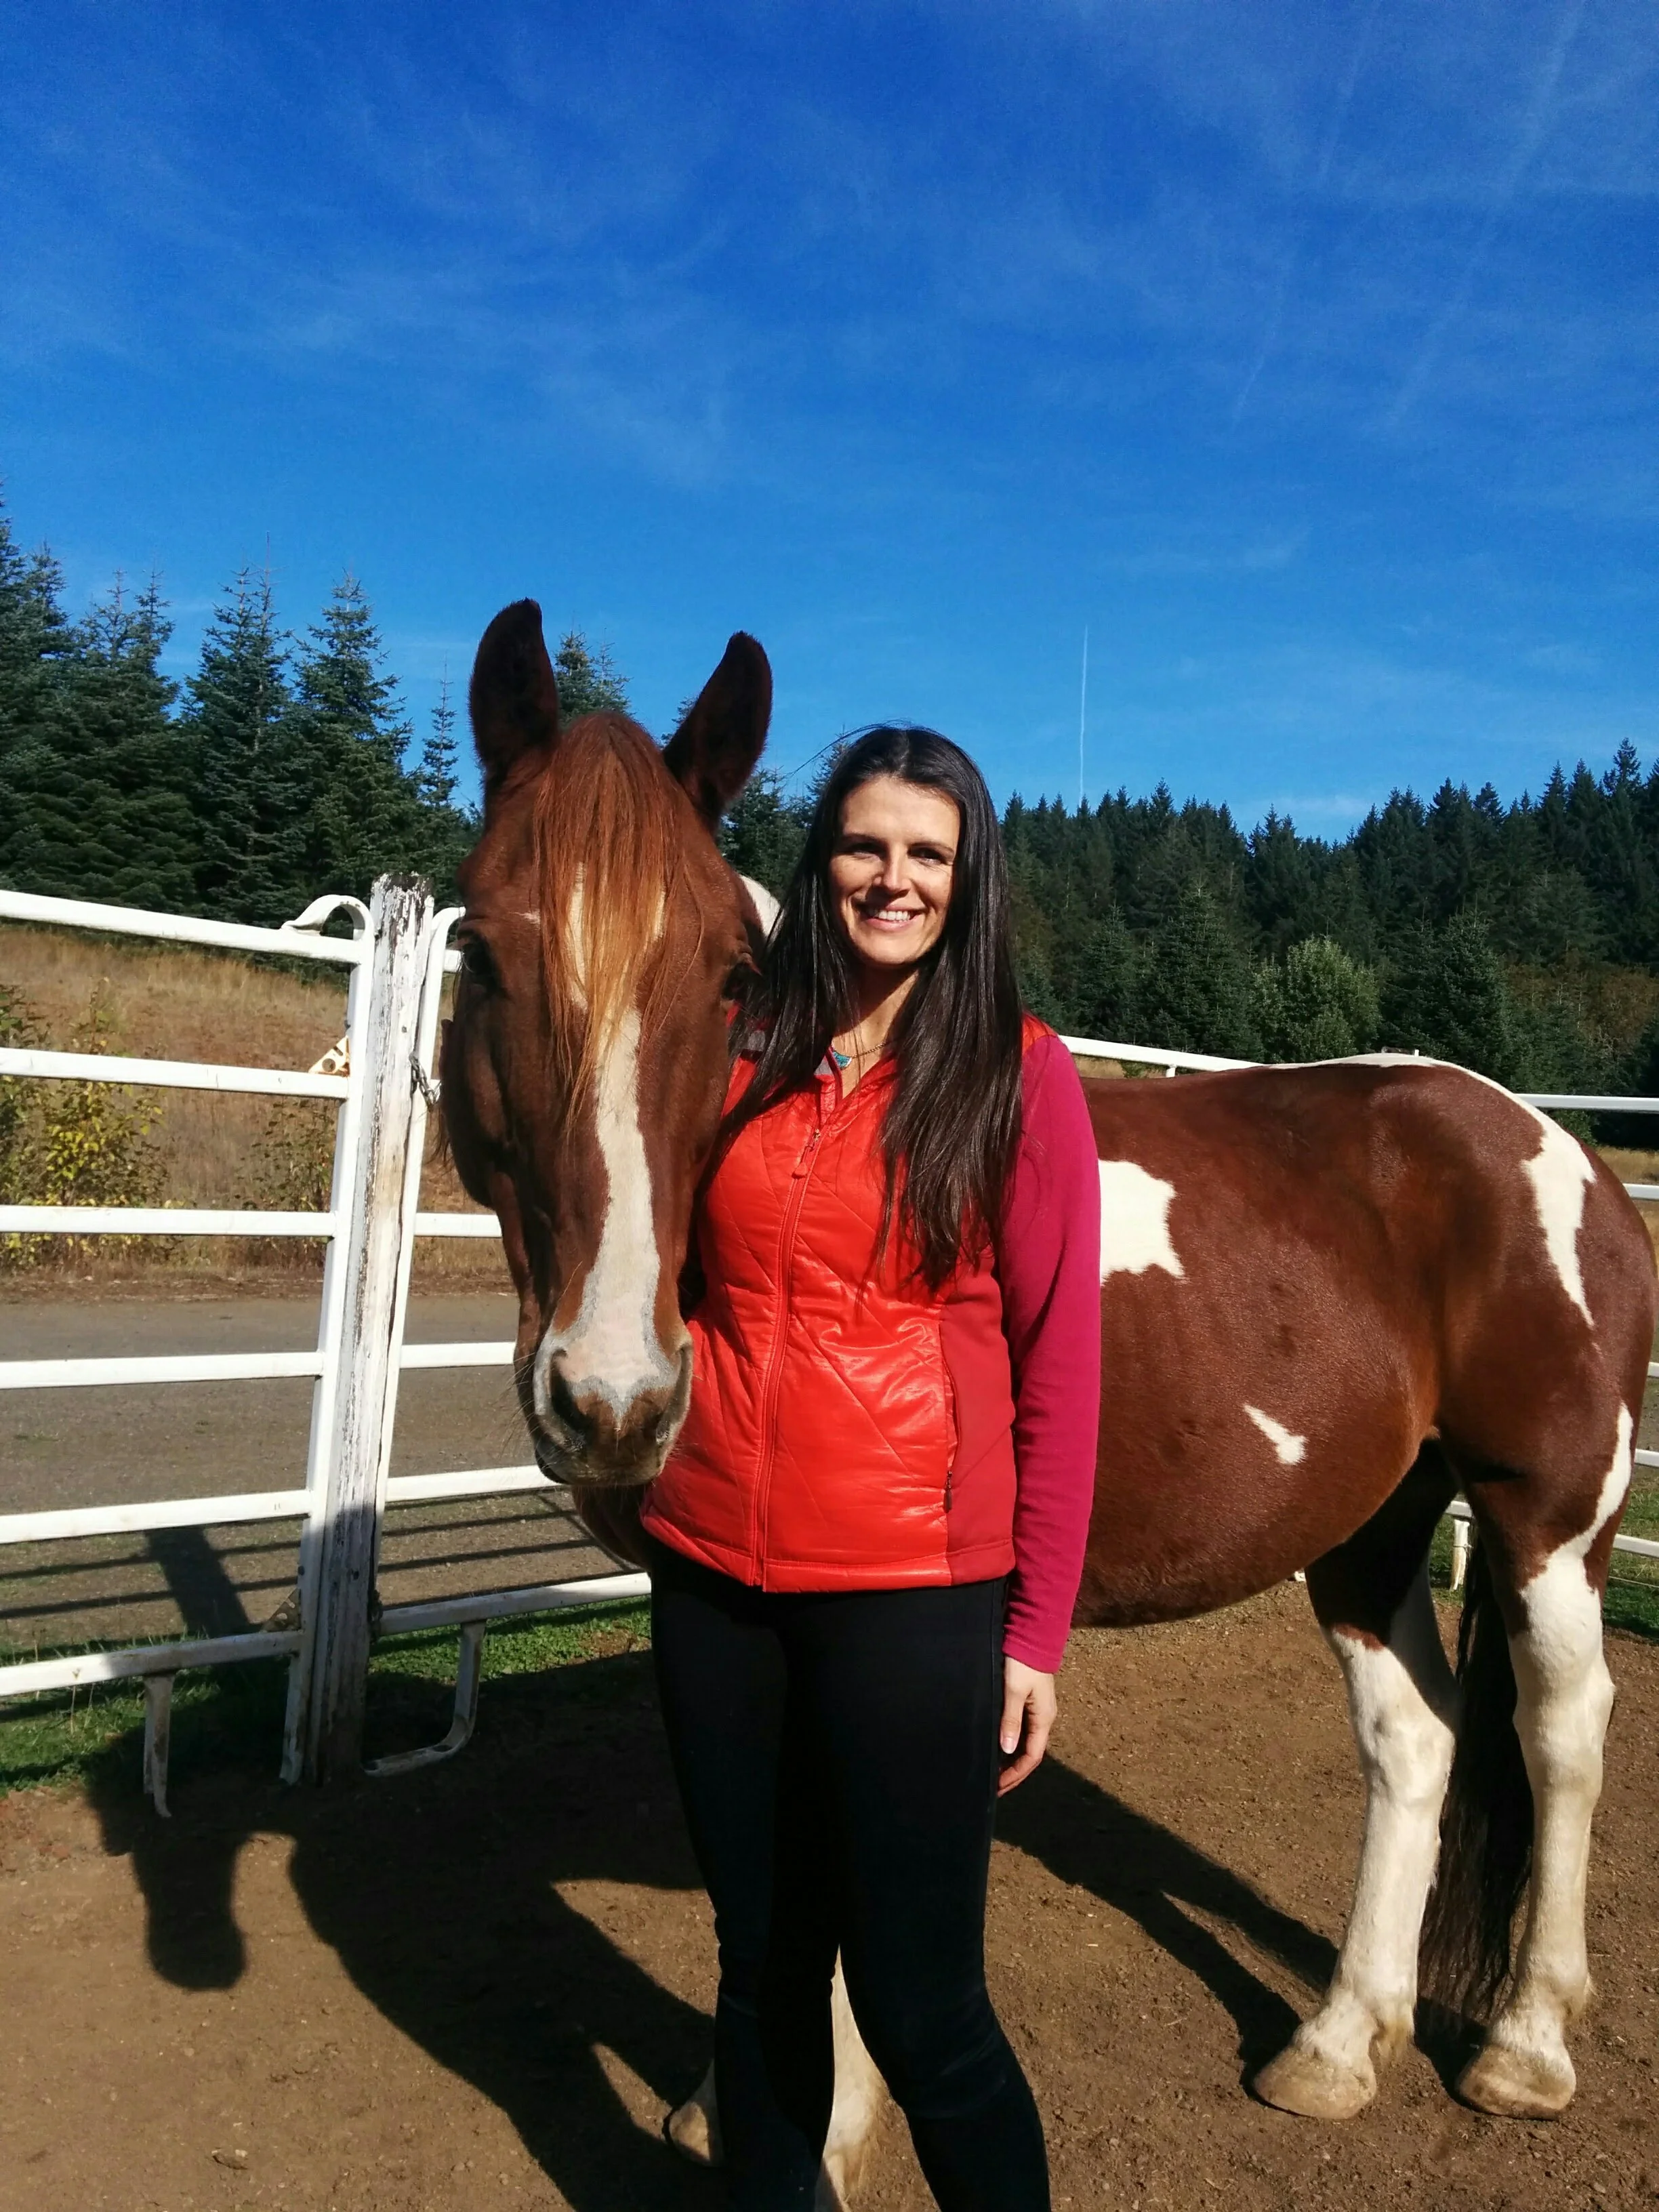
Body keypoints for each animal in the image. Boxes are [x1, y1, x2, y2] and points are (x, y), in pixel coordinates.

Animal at [440, 599, 1656, 2196]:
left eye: (729, 974)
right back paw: (1338, 2045)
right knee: (1419, 1742)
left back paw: (1523, 2045)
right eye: (483, 951)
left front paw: (828, 2128)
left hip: (1546, 1513)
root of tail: (1559, 1151)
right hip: (1373, 1521)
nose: (613, 1398)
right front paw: (724, 2101)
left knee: (1563, 1733)